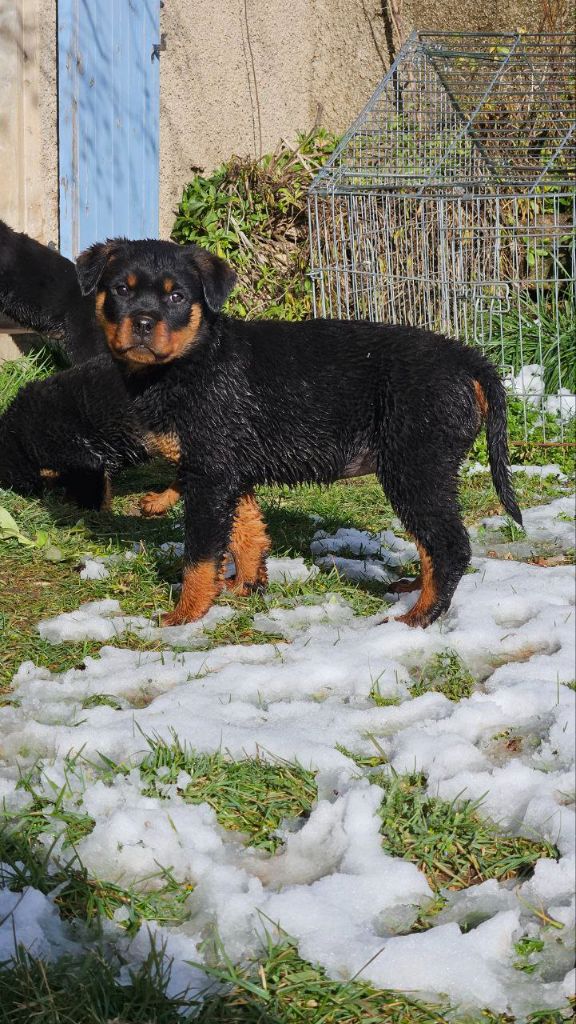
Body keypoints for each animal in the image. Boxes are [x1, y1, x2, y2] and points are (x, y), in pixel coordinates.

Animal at [71, 235, 520, 626]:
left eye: (177, 297)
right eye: (121, 290)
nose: (143, 323)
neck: (194, 358)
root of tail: (467, 359)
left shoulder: (210, 475)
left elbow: (199, 555)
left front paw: (186, 615)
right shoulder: (230, 472)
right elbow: (246, 532)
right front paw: (244, 586)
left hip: (416, 466)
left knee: (448, 545)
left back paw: (419, 616)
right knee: (433, 544)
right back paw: (413, 589)